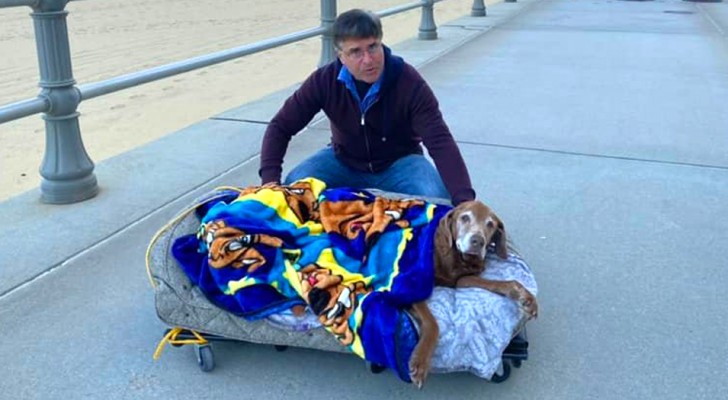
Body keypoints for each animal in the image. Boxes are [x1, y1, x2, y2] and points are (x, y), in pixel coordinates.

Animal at [406, 202, 536, 390]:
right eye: (465, 217)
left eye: (490, 224)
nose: (478, 241)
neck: (457, 259)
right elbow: (432, 323)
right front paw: (420, 362)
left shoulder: (462, 280)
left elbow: (502, 283)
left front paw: (524, 297)